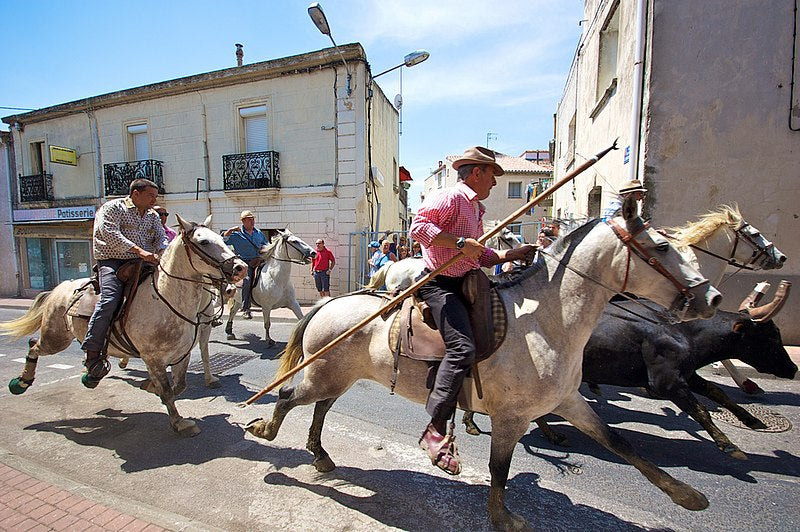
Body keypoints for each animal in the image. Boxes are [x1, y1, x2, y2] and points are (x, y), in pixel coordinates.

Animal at [0, 216, 247, 436]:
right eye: (204, 242)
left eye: (222, 239)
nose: (240, 268)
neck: (166, 299)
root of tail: (61, 287)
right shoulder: (153, 358)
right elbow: (168, 391)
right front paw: (179, 423)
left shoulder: (182, 354)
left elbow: (178, 386)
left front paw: (152, 387)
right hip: (56, 338)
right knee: (34, 345)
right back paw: (21, 382)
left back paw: (91, 374)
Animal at [244, 197, 720, 528]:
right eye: (662, 246)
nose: (711, 298)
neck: (548, 319)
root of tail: (328, 304)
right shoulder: (512, 416)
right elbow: (499, 467)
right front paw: (502, 517)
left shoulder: (568, 401)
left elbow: (619, 442)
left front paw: (685, 495)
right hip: (323, 373)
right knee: (289, 396)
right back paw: (267, 431)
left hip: (338, 374)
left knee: (320, 406)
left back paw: (320, 455)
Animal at [462, 302, 792, 460]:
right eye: (768, 336)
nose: (792, 369)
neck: (684, 332)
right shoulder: (666, 382)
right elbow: (701, 410)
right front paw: (727, 444)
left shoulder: (687, 375)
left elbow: (717, 394)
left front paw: (752, 420)